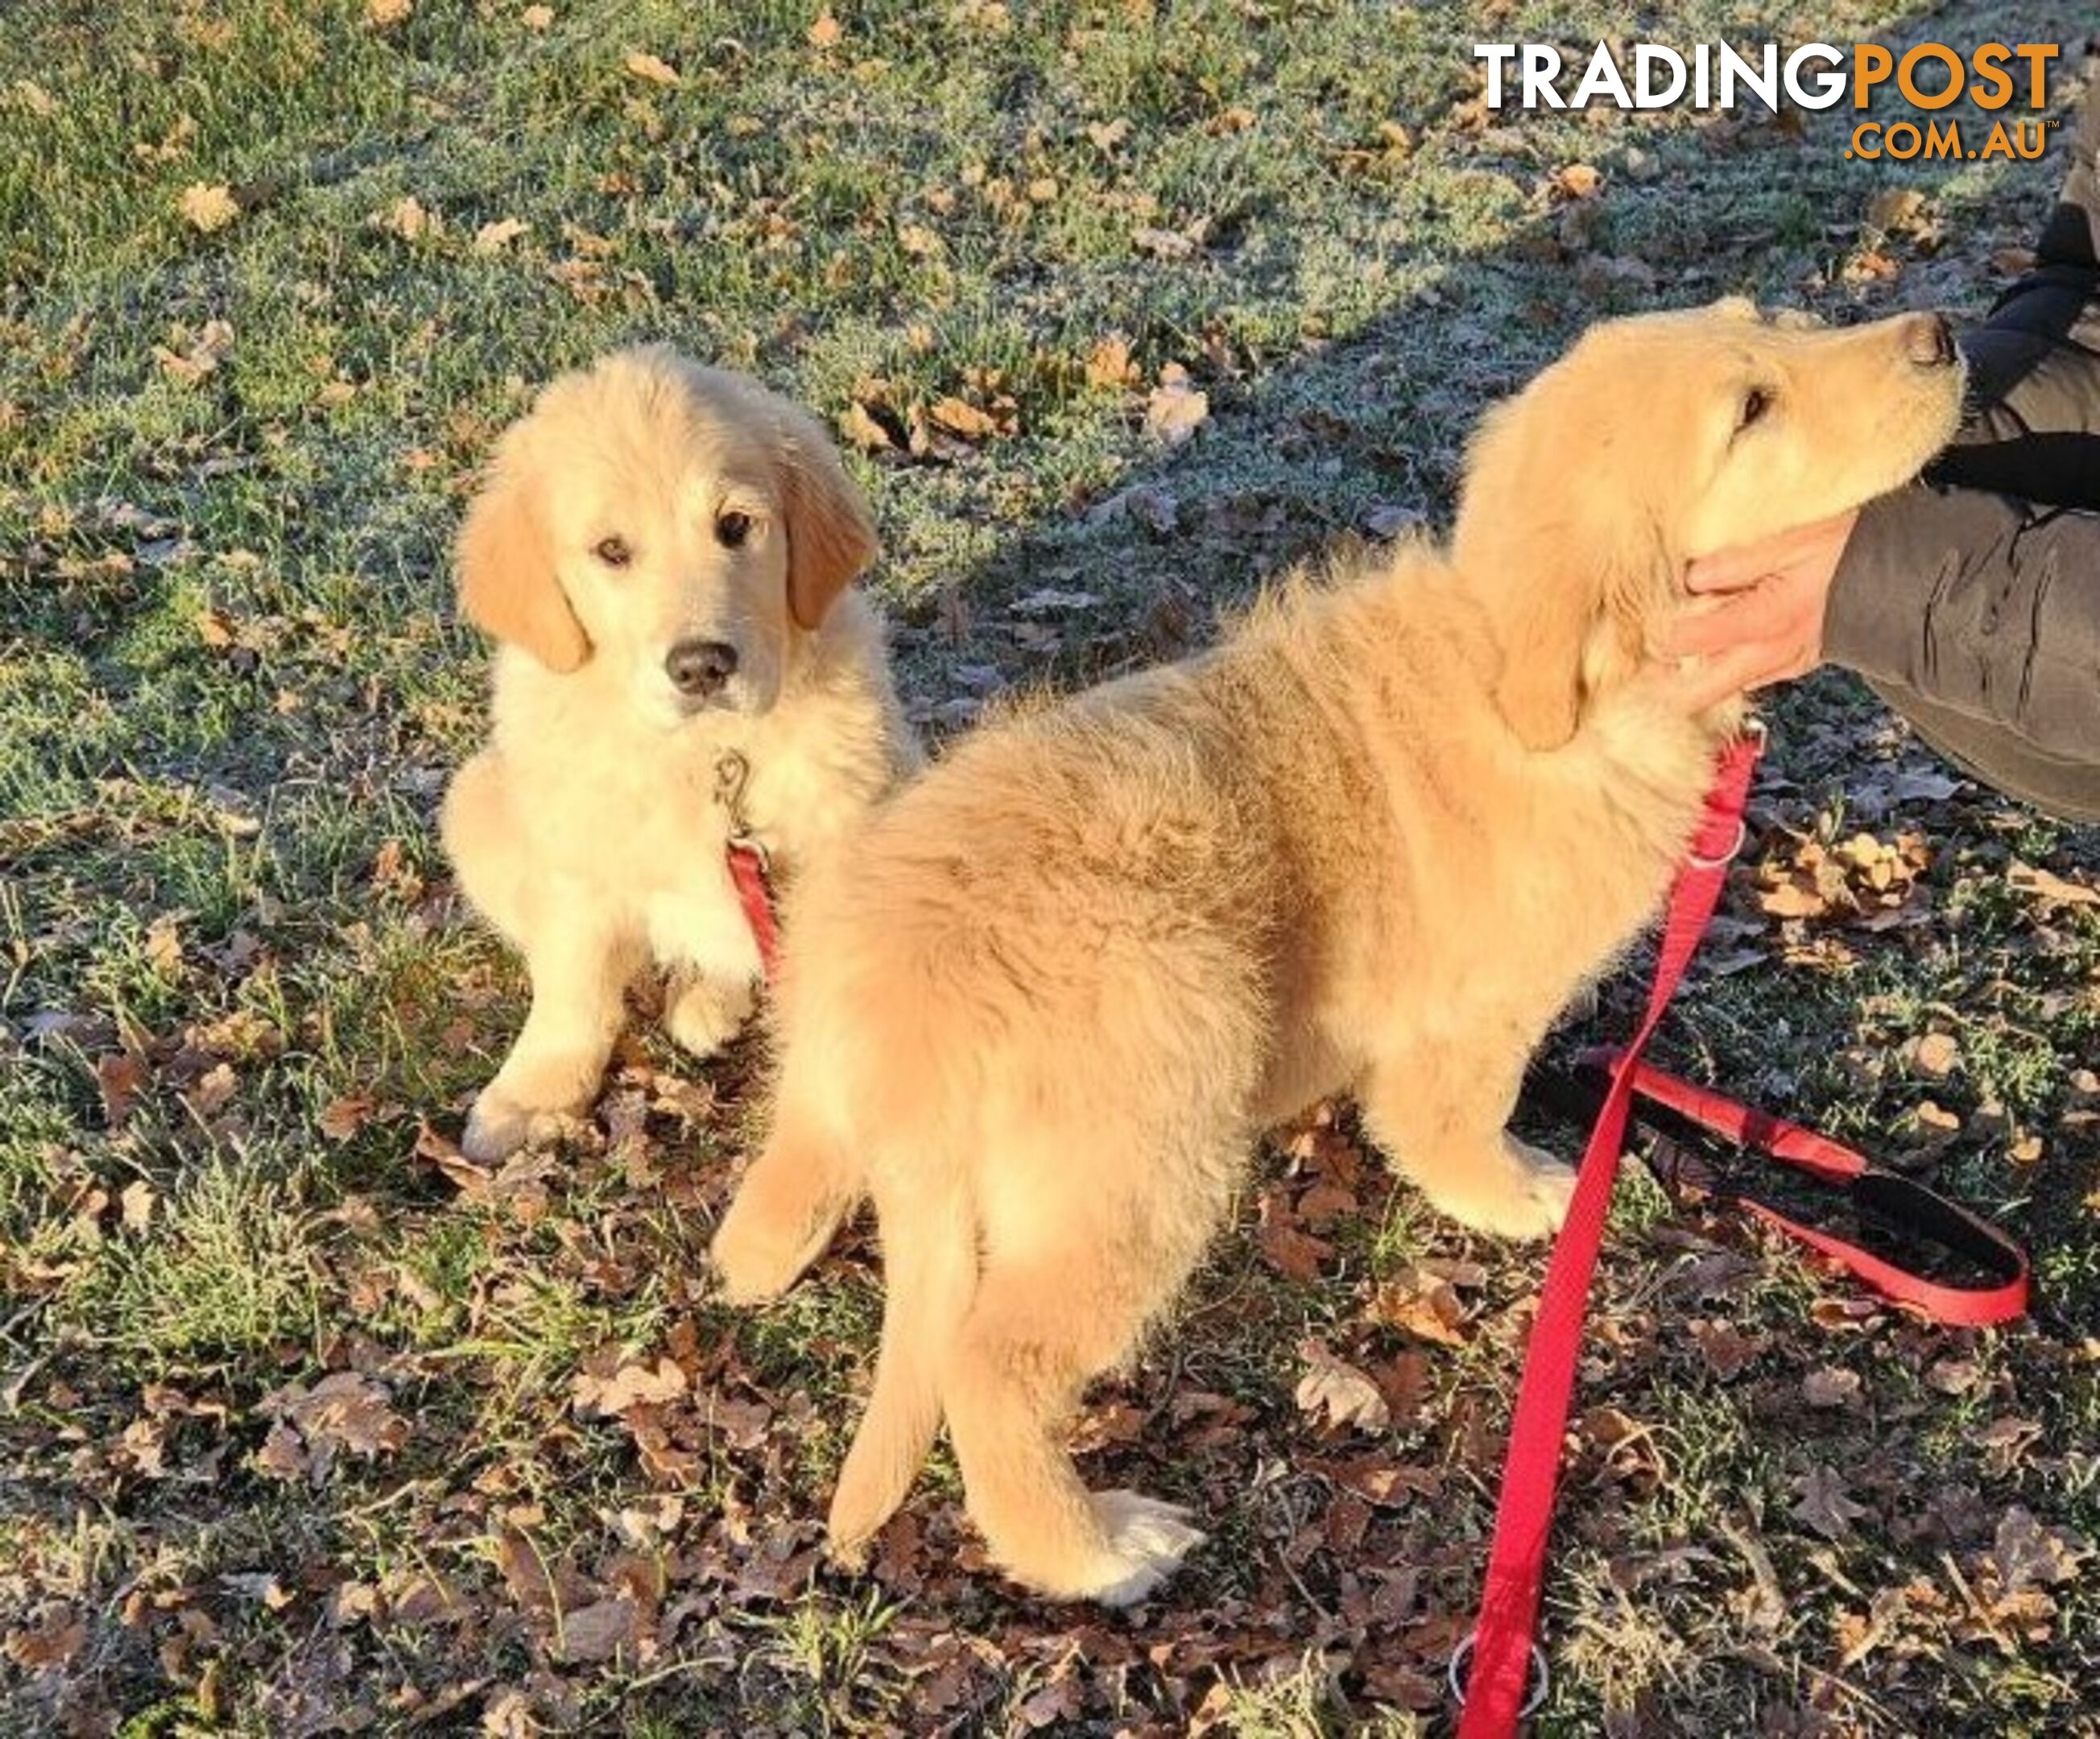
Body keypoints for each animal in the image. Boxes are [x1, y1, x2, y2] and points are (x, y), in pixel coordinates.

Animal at [443, 346, 920, 1159]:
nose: (701, 667)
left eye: (735, 526)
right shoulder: (574, 866)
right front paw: (533, 1093)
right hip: (476, 804)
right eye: (612, 551)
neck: (708, 757)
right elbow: (571, 989)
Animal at [709, 302, 1966, 1605]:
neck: (1548, 690)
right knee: (989, 1365)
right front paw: (1517, 1192)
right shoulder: (1481, 1009)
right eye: (1751, 411)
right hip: (1147, 1138)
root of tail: (899, 1019)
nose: (1940, 334)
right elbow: (1455, 1116)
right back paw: (1098, 1551)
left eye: (1772, 325)